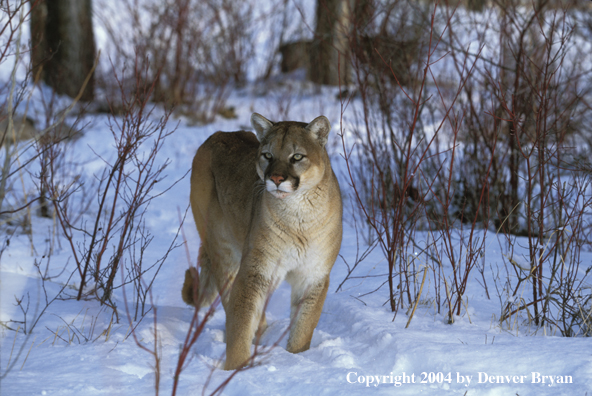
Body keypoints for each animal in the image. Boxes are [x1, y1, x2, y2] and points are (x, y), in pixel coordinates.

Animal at [184, 113, 342, 370]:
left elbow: (303, 327)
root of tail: (217, 134)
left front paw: (297, 359)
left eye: (297, 156)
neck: (299, 217)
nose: (276, 178)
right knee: (231, 299)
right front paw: (236, 368)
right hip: (225, 251)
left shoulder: (313, 274)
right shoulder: (255, 271)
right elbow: (241, 322)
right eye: (268, 155)